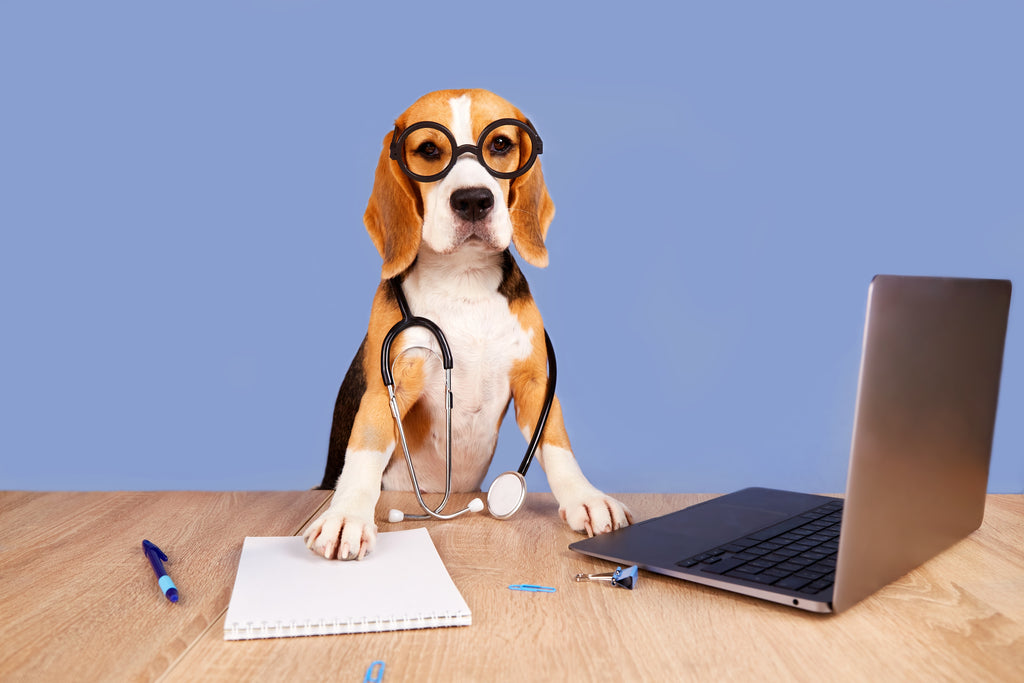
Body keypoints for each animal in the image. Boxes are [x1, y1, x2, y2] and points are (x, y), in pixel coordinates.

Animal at [299, 89, 626, 561]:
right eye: (428, 150)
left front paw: (585, 497)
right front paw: (347, 516)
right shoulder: (387, 385)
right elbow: (364, 450)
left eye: (501, 144)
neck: (463, 277)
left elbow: (556, 442)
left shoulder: (535, 383)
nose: (473, 200)